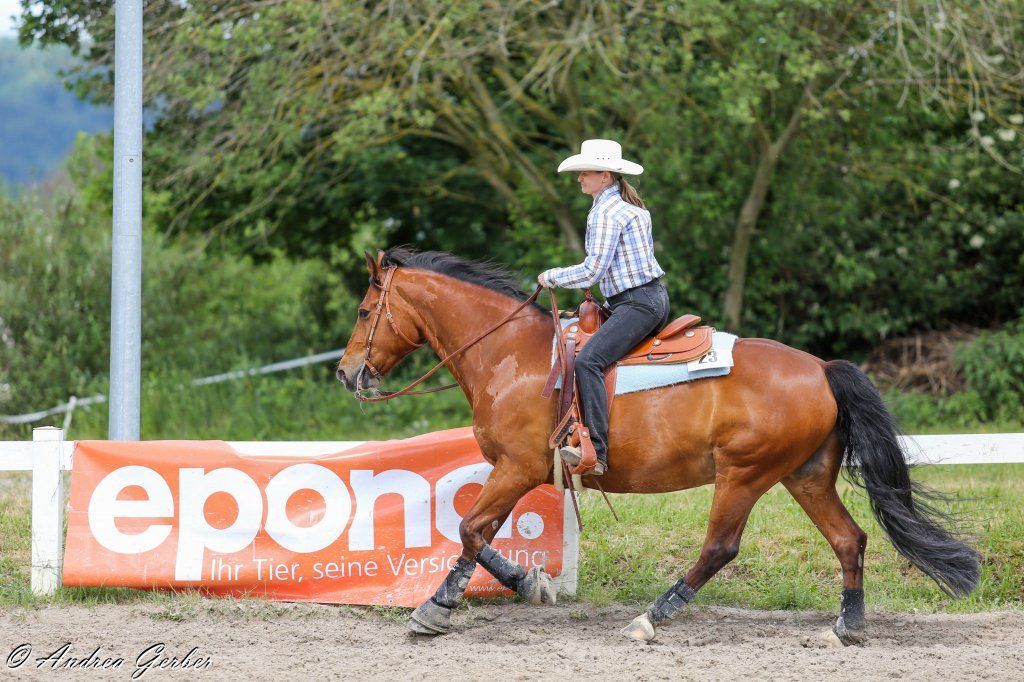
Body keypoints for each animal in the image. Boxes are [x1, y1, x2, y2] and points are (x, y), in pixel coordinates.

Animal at [335, 246, 979, 644]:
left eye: (366, 310)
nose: (345, 373)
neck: (510, 355)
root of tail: (822, 368)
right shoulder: (515, 470)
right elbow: (473, 531)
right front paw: (528, 584)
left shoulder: (516, 468)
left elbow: (470, 529)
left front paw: (436, 609)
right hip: (806, 476)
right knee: (850, 539)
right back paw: (848, 626)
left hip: (744, 475)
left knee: (720, 548)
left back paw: (651, 618)